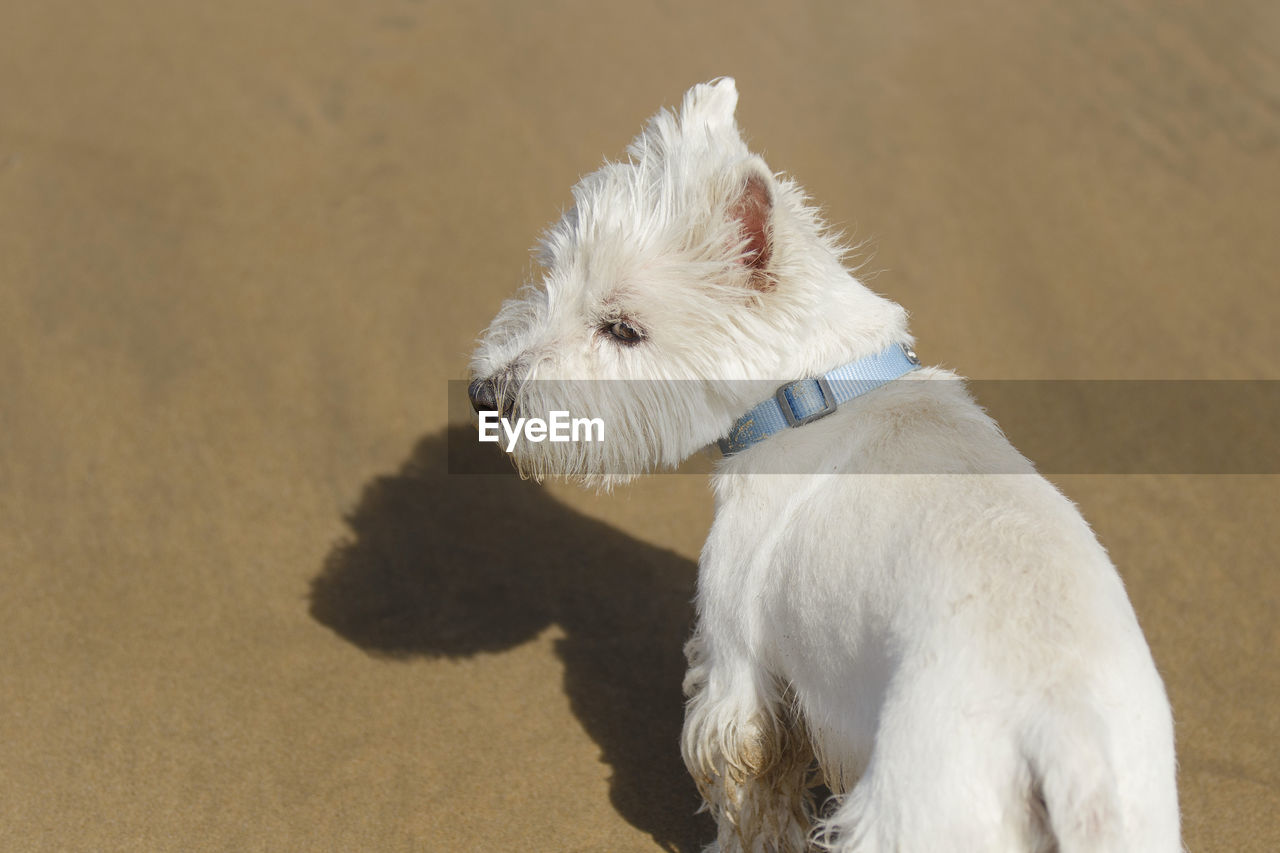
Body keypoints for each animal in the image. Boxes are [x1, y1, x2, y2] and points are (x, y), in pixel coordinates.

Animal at [471, 76, 1177, 845]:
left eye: (623, 329)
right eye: (552, 275)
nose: (486, 393)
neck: (814, 391)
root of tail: (1064, 740)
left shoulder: (737, 661)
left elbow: (752, 787)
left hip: (913, 806)